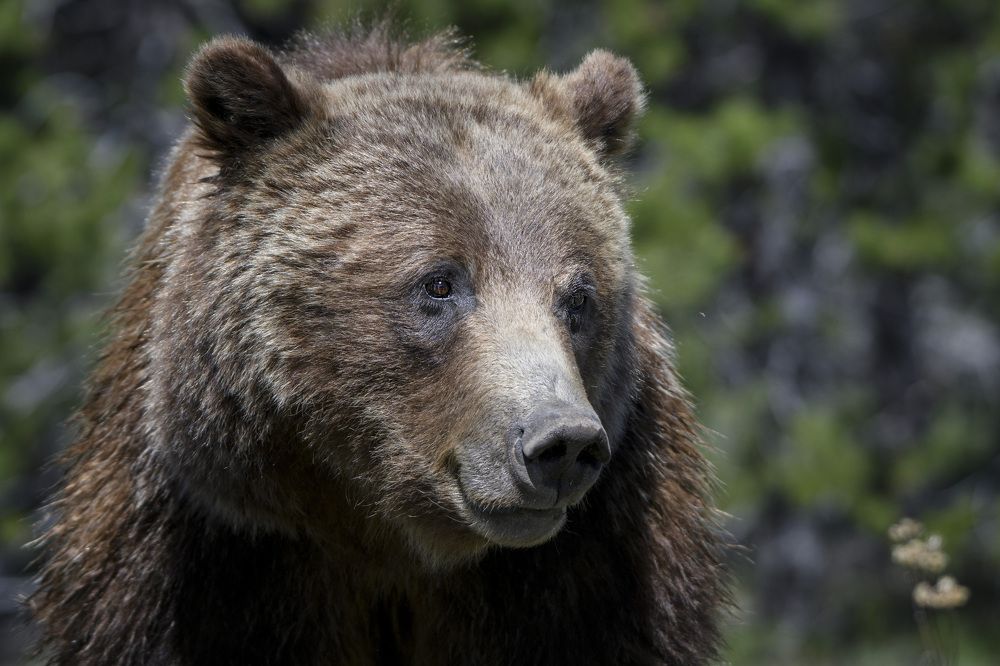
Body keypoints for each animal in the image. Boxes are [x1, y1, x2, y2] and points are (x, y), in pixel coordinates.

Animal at [29, 23, 727, 665]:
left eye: (578, 298)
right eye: (440, 282)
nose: (562, 443)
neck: (385, 537)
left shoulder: (586, 573)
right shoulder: (212, 559)